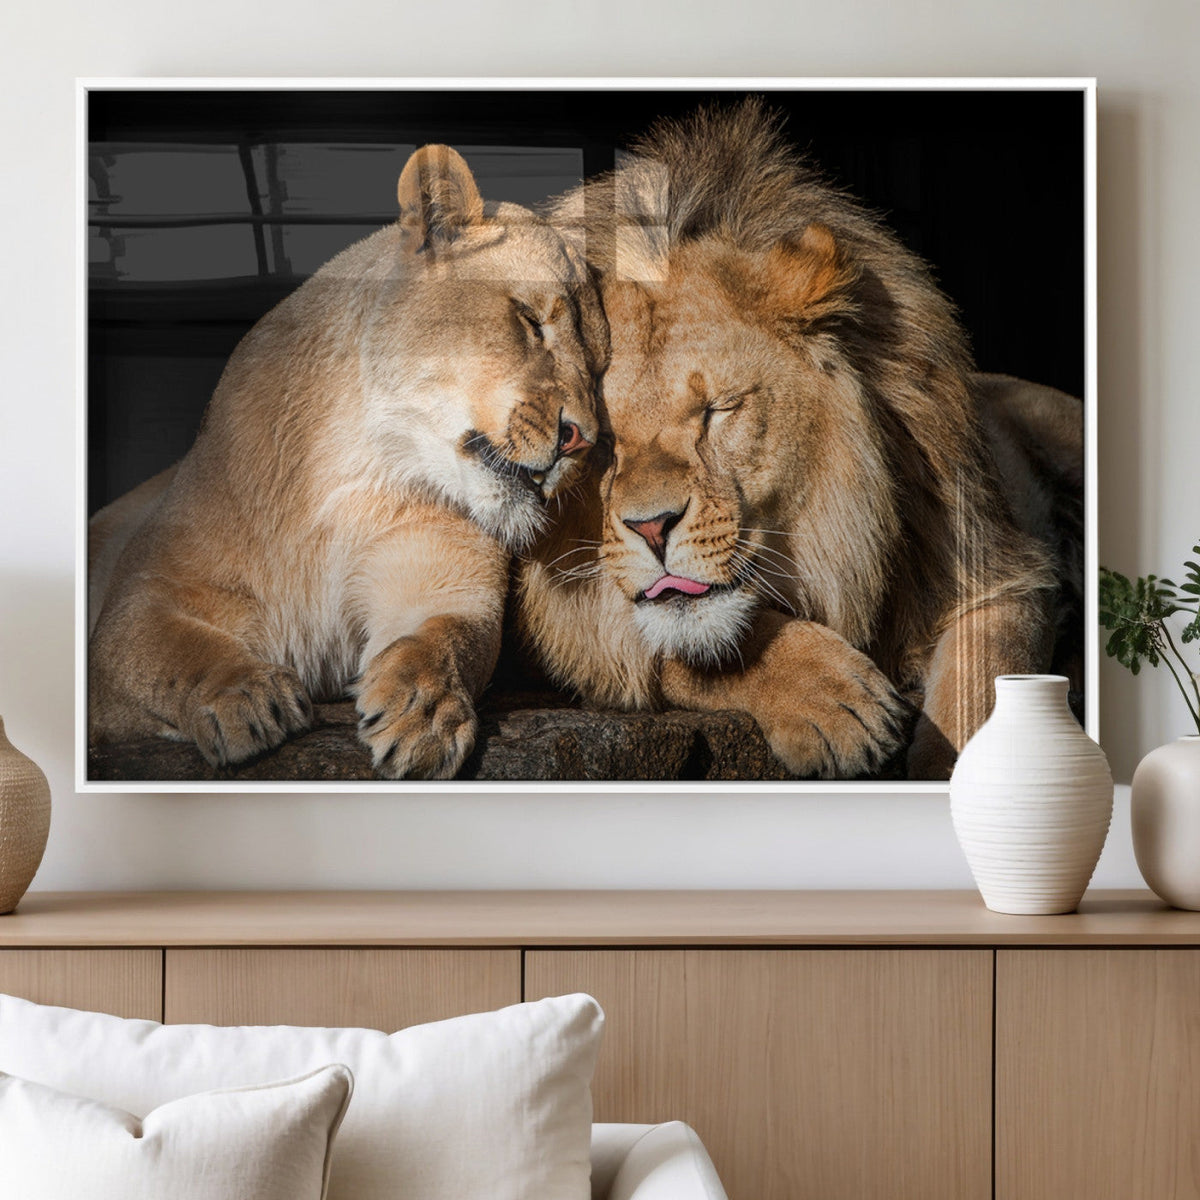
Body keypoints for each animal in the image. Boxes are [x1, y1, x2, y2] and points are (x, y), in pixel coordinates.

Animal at [88, 144, 607, 780]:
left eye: (600, 369)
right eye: (531, 321)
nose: (581, 441)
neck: (356, 469)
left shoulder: (443, 579)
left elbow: (445, 639)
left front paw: (424, 713)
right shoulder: (140, 599)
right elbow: (169, 649)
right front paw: (244, 697)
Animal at [516, 100, 1081, 780]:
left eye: (719, 410)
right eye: (596, 441)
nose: (651, 528)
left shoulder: (1002, 570)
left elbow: (978, 698)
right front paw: (835, 701)